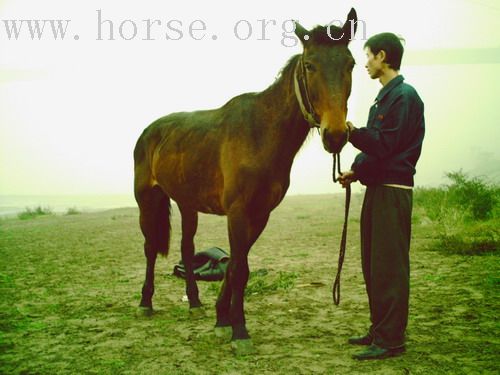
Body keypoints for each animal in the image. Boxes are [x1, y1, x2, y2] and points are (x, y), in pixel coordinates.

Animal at [135, 8, 358, 356]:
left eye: (351, 64)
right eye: (310, 65)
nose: (335, 135)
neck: (261, 133)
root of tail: (150, 131)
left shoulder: (259, 214)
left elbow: (236, 266)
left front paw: (221, 319)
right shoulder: (238, 212)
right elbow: (239, 269)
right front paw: (239, 331)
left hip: (187, 204)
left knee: (187, 248)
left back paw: (194, 302)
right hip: (146, 199)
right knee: (148, 248)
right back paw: (145, 302)